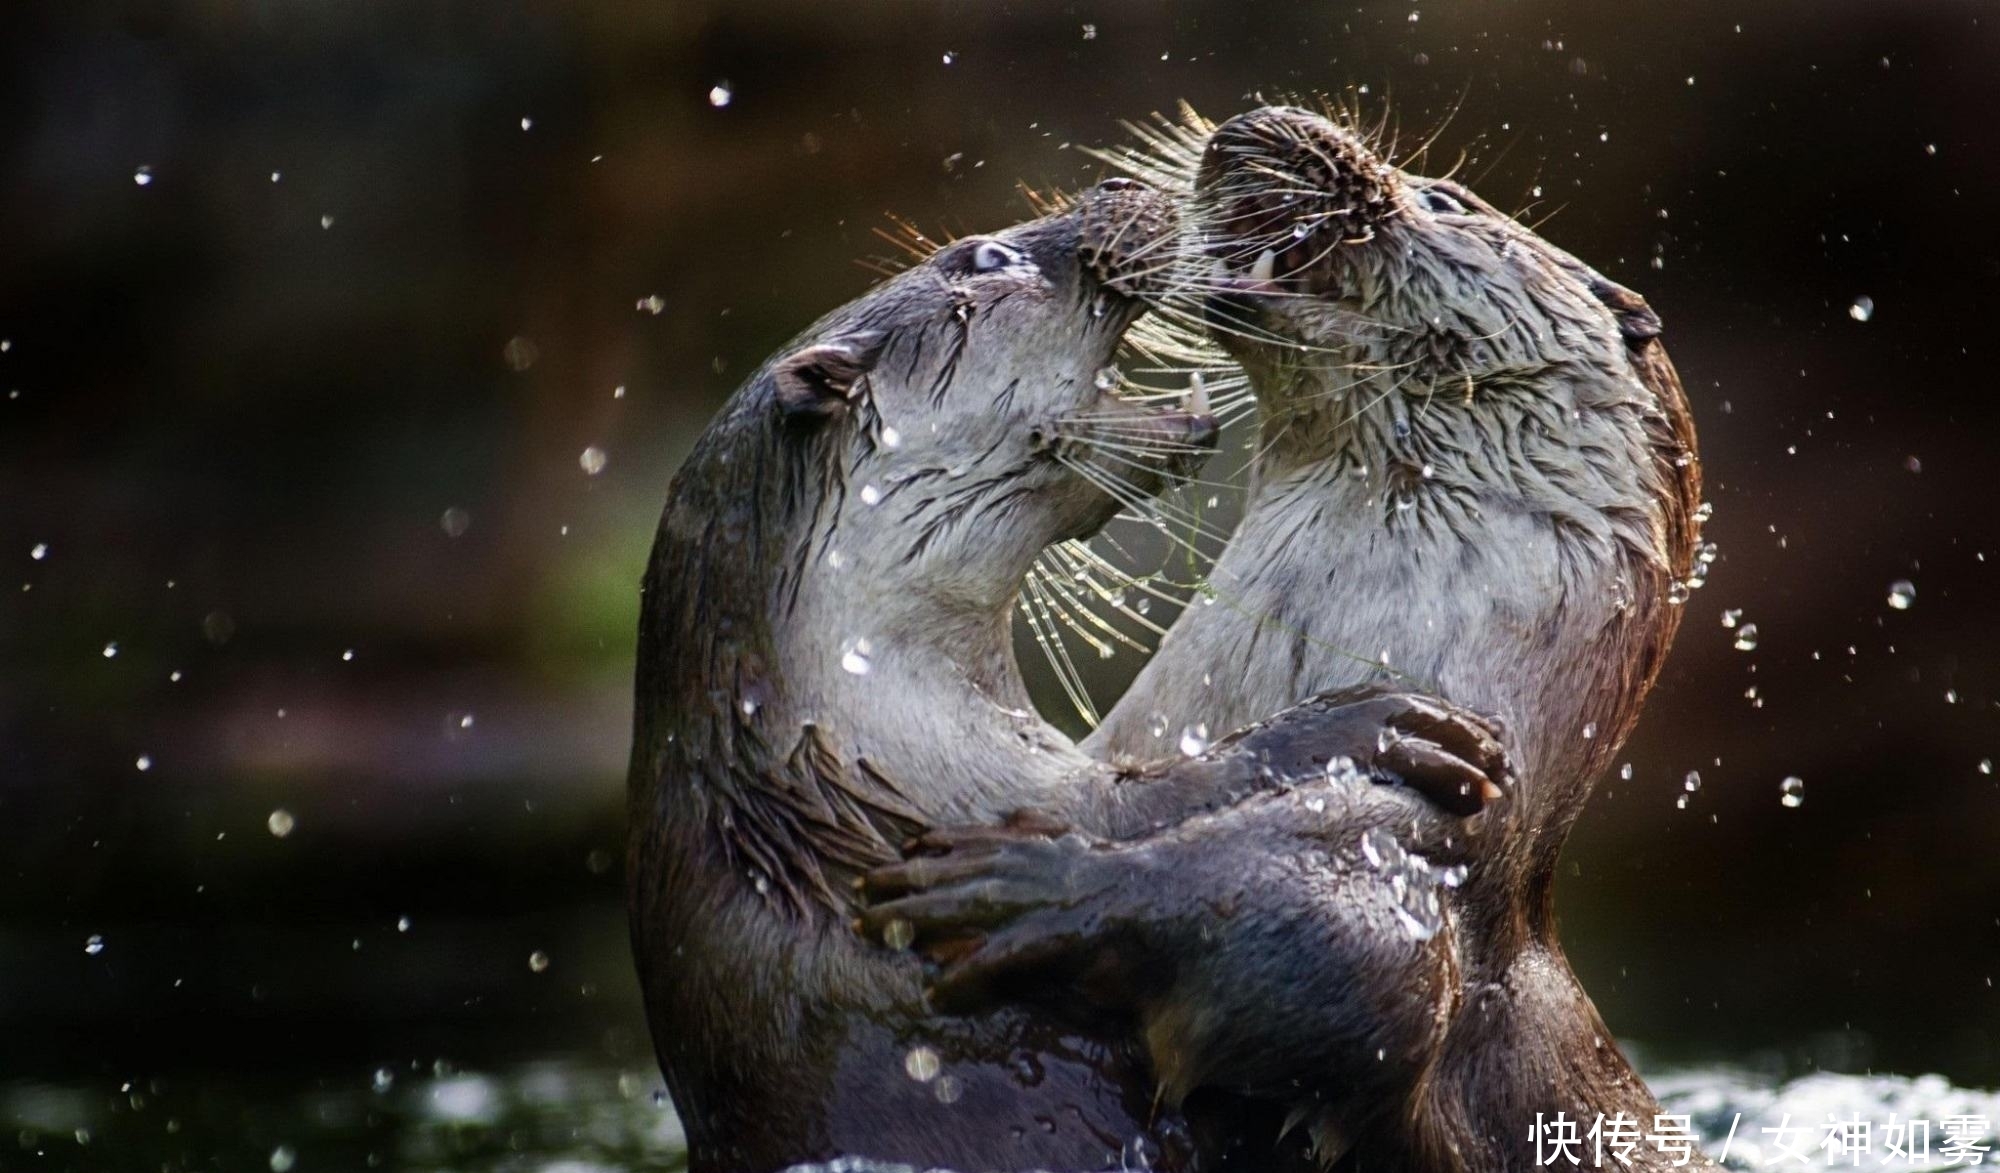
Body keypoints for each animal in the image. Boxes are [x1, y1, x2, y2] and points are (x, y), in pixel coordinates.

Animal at [632, 173, 1504, 1168]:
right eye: (982, 257)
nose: (1117, 186)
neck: (826, 760)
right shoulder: (949, 794)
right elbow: (1150, 802)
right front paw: (1369, 724)